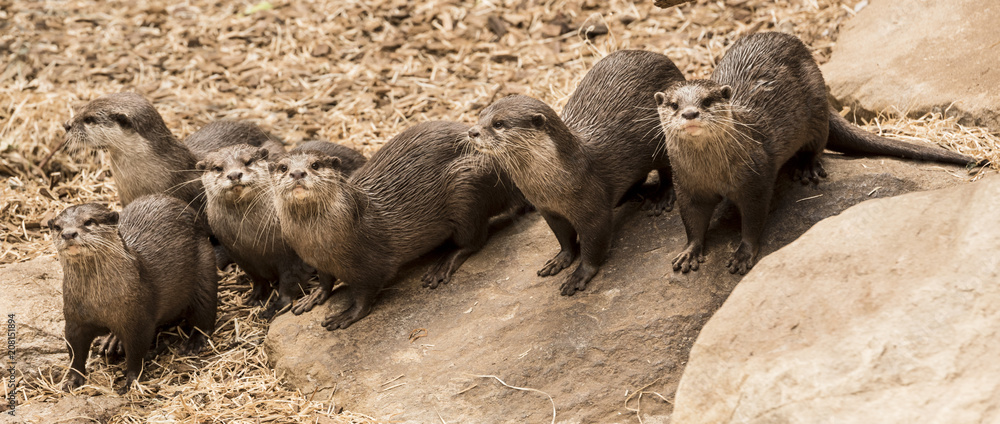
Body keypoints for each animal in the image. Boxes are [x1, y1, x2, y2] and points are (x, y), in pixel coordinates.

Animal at [50, 195, 218, 393]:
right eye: (57, 227)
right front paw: (73, 380)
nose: (68, 234)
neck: (100, 302)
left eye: (89, 221)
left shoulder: (138, 320)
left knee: (205, 314)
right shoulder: (74, 320)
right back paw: (111, 341)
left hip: (205, 273)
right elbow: (74, 352)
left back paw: (194, 342)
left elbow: (136, 353)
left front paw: (131, 381)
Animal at [198, 141, 366, 316]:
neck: (251, 240)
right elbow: (257, 278)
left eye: (248, 161)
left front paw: (277, 306)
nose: (234, 175)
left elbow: (290, 281)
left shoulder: (292, 256)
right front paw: (256, 297)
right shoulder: (239, 255)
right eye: (218, 168)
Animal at [273, 121, 525, 330]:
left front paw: (346, 315)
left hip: (468, 185)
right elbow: (326, 281)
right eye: (283, 167)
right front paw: (313, 296)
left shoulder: (371, 264)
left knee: (474, 239)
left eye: (315, 164)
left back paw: (442, 266)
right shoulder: (317, 262)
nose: (297, 173)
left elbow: (365, 294)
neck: (318, 244)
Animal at [468, 50, 684, 296]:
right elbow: (564, 237)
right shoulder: (548, 211)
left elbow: (594, 244)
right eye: (480, 116)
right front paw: (560, 259)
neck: (552, 186)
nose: (472, 131)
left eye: (499, 123)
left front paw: (579, 275)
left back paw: (661, 198)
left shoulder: (593, 211)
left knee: (668, 169)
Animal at [655, 32, 980, 275]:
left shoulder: (756, 179)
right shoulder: (686, 184)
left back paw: (807, 168)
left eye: (708, 101)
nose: (689, 113)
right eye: (673, 104)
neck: (714, 172)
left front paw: (743, 254)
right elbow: (692, 220)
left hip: (815, 111)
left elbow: (754, 218)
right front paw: (689, 252)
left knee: (819, 142)